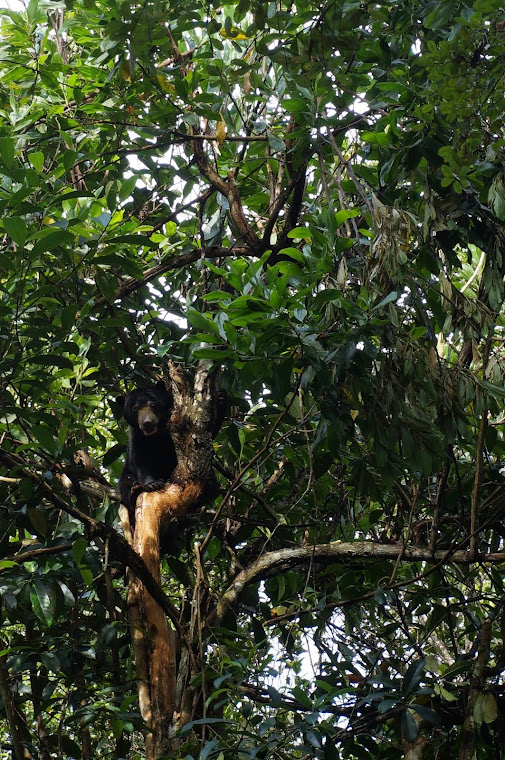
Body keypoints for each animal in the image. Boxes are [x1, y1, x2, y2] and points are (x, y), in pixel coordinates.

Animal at [115, 378, 176, 520]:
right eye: (135, 409)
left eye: (153, 404)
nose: (147, 423)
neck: (154, 435)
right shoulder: (137, 437)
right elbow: (141, 460)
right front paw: (153, 484)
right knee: (124, 485)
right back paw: (134, 491)